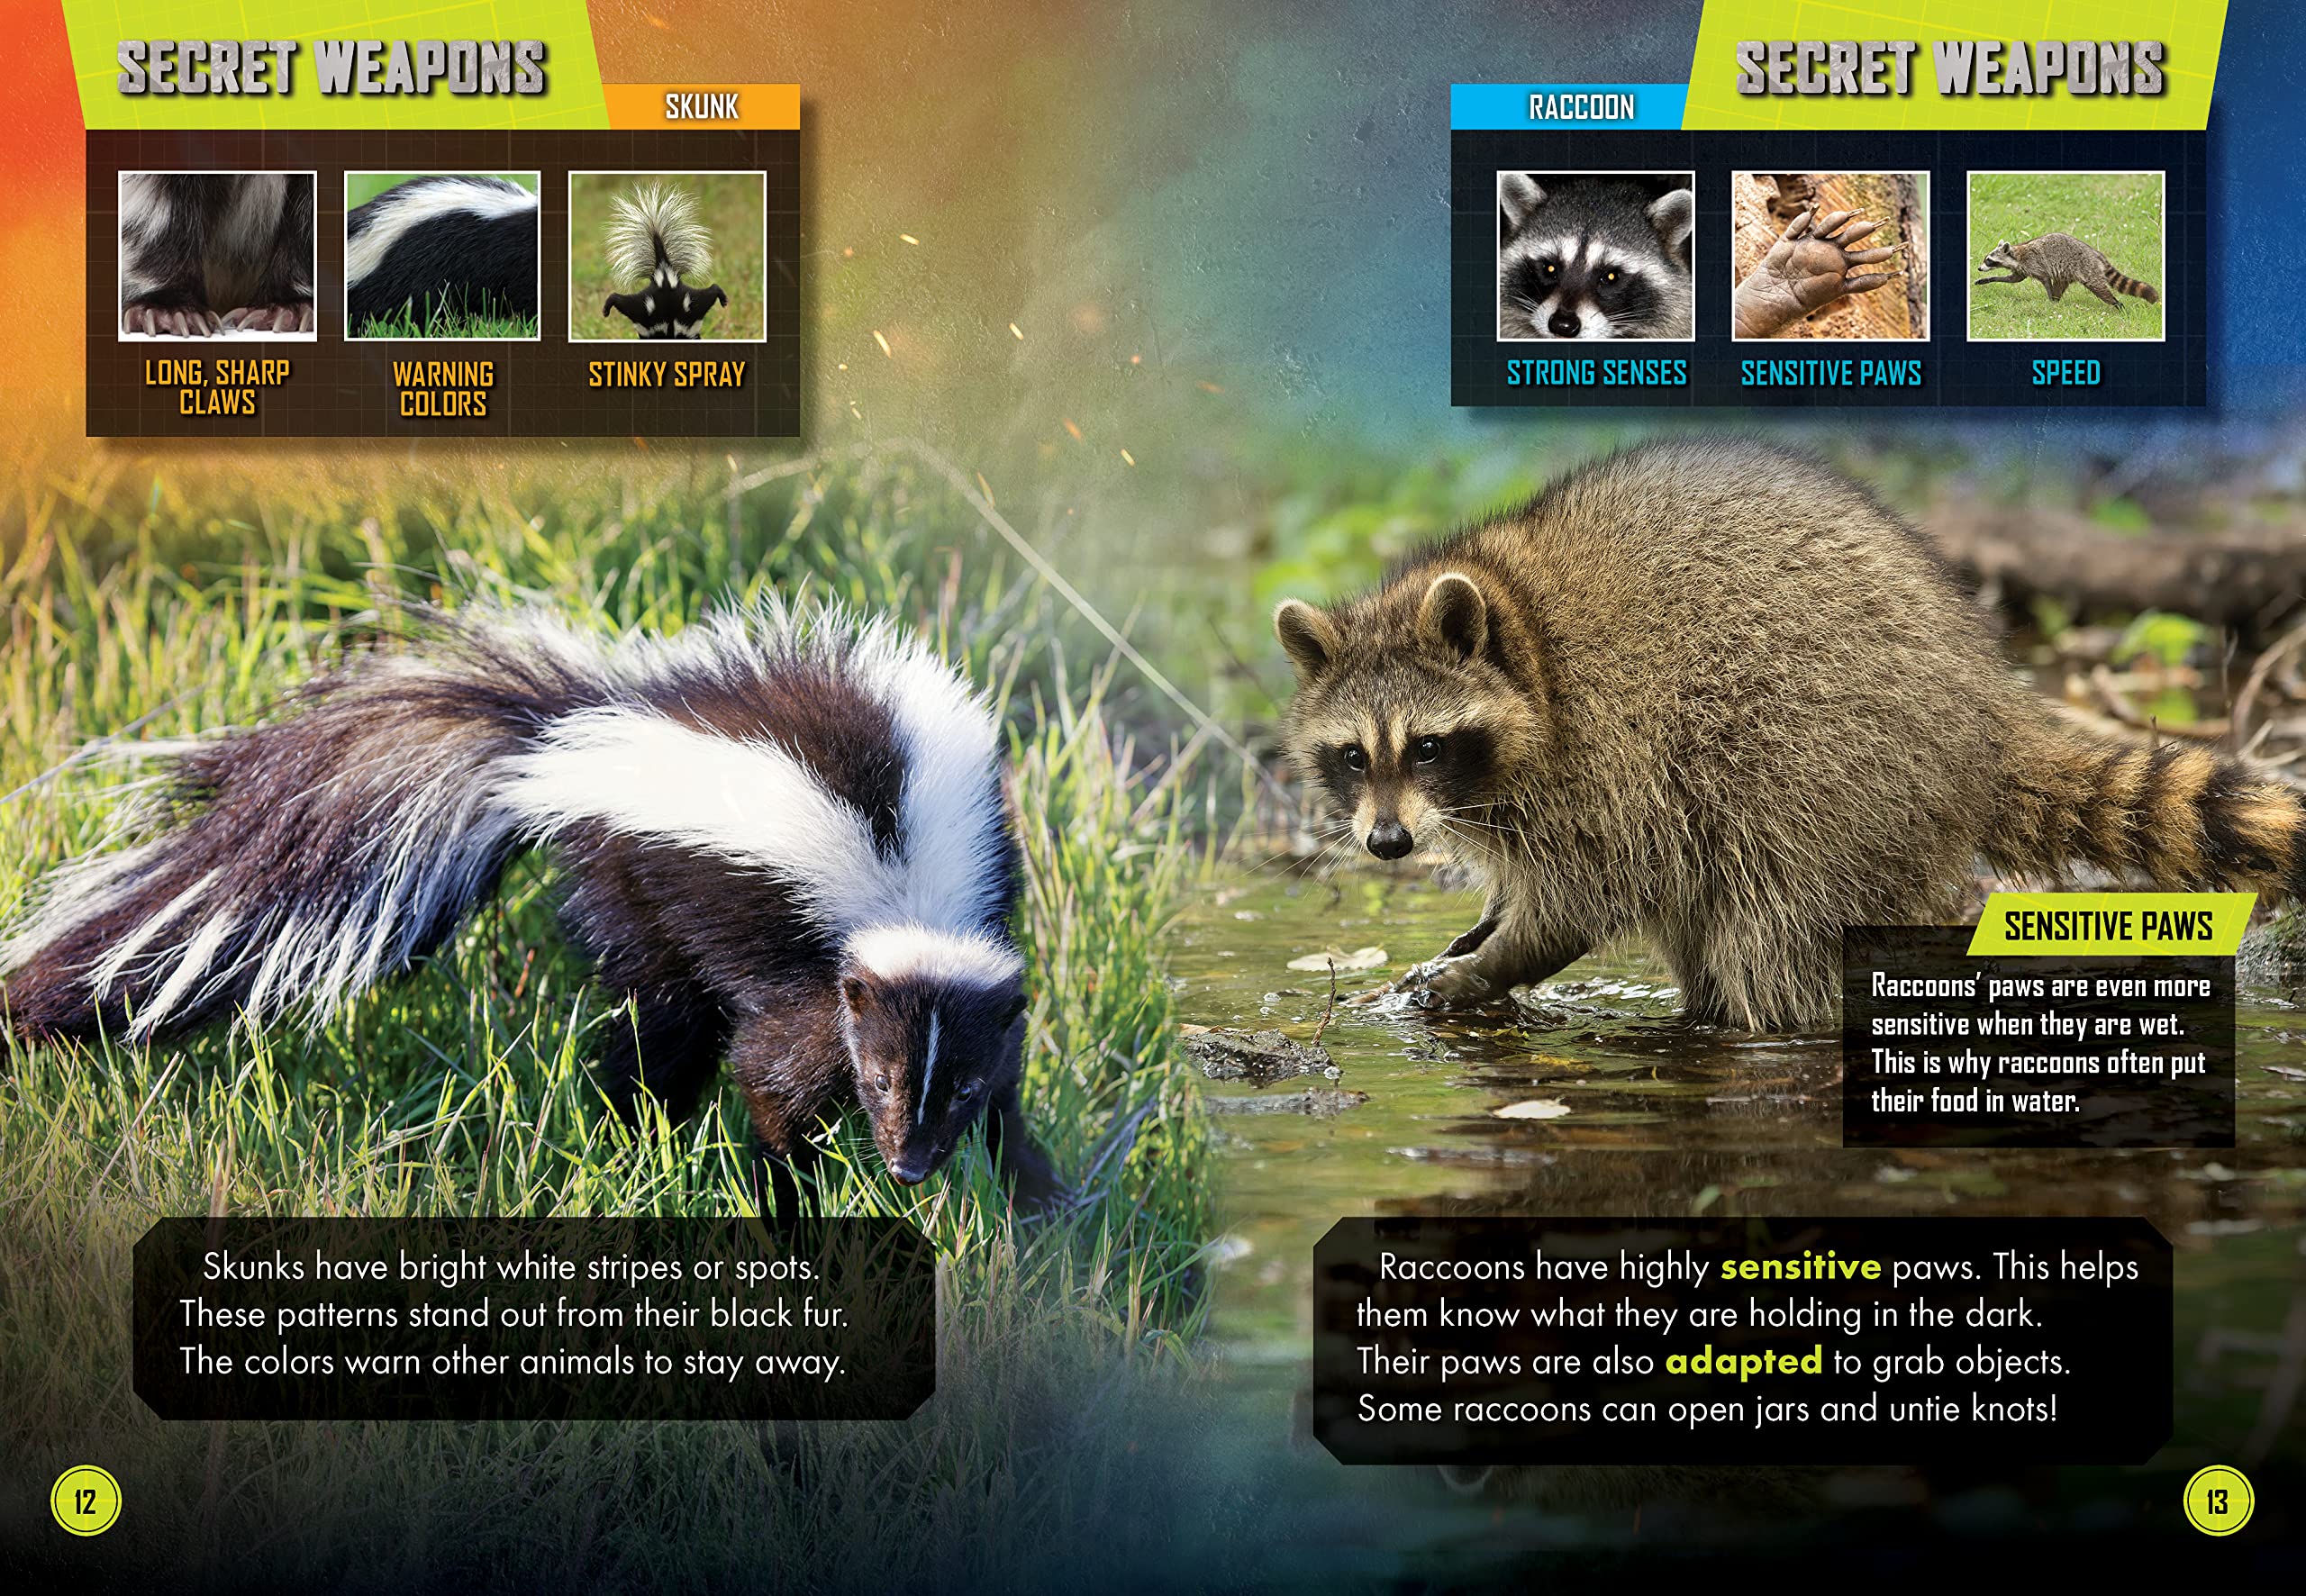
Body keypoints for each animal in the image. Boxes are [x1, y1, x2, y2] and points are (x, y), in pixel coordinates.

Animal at [1272, 440, 2304, 1032]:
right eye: (1354, 755)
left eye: (1428, 746)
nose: (1387, 842)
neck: (1523, 631)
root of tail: (1981, 703)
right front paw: (1481, 927)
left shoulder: (1604, 759)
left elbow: (1589, 895)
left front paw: (1494, 963)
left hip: (1830, 776)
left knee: (1775, 941)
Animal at [1975, 234, 2158, 309]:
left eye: (1988, 260)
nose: (1979, 268)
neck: (2015, 254)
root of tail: (2096, 254)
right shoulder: (2021, 268)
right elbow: (2013, 279)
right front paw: (1989, 279)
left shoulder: (2034, 264)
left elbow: (2045, 279)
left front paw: (2050, 298)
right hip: (2067, 273)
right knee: (2060, 284)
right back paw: (2057, 300)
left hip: (2087, 267)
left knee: (2099, 288)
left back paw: (2117, 304)